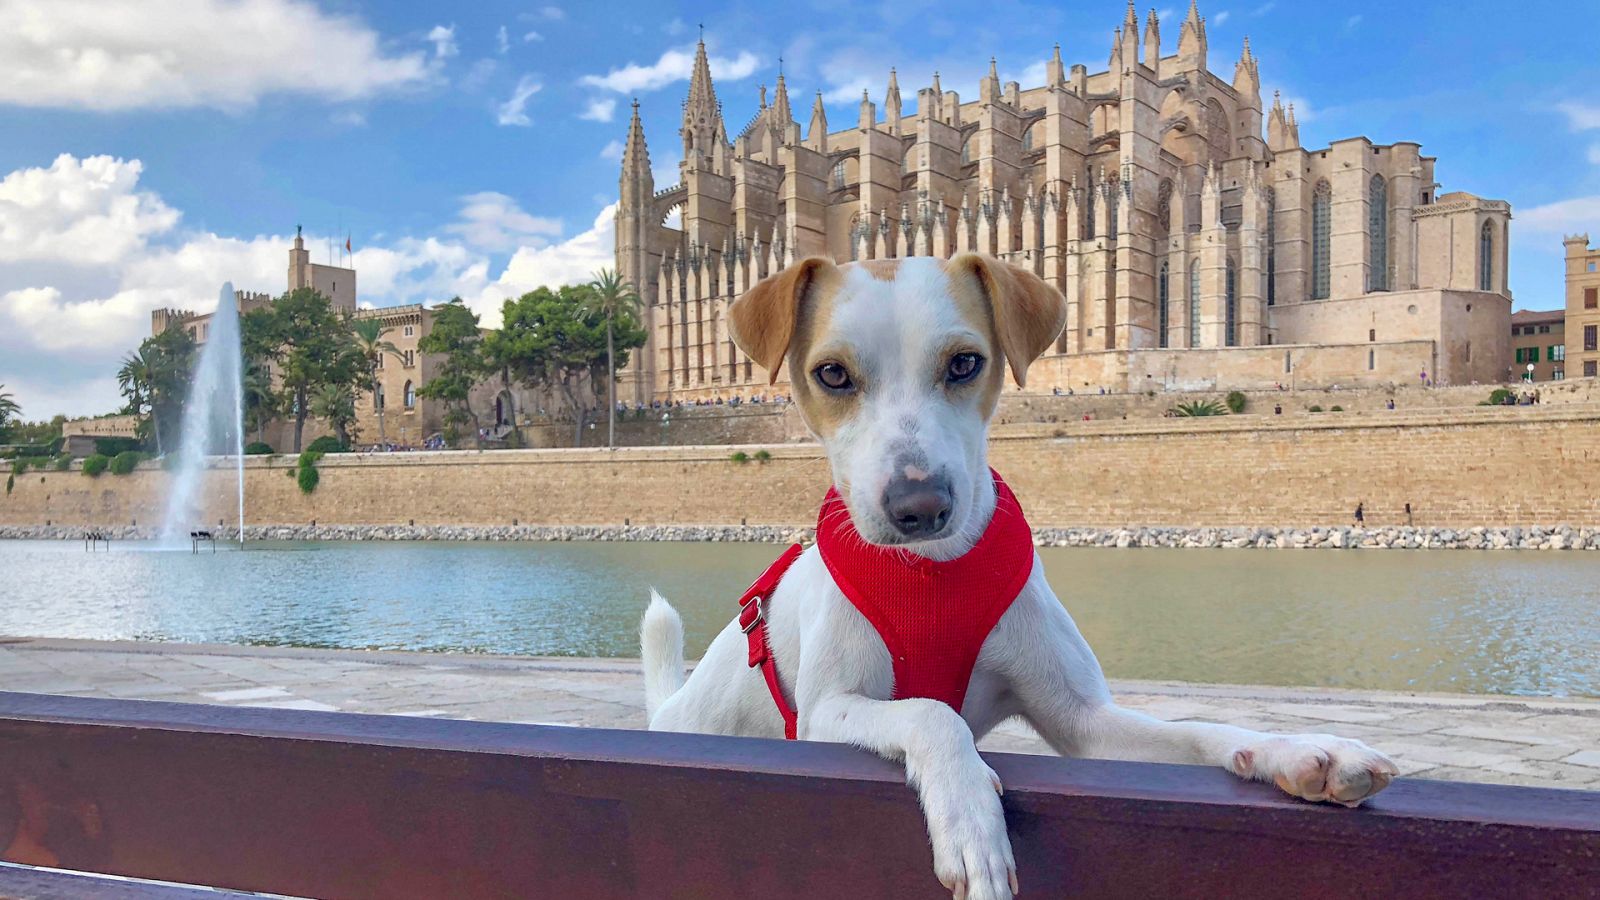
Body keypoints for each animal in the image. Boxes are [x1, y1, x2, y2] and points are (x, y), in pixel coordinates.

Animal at [643, 253, 1395, 896]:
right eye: (832, 375)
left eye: (964, 362)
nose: (920, 507)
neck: (935, 576)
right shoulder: (825, 714)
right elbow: (934, 713)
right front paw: (971, 826)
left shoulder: (1083, 722)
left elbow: (1200, 728)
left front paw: (1303, 751)